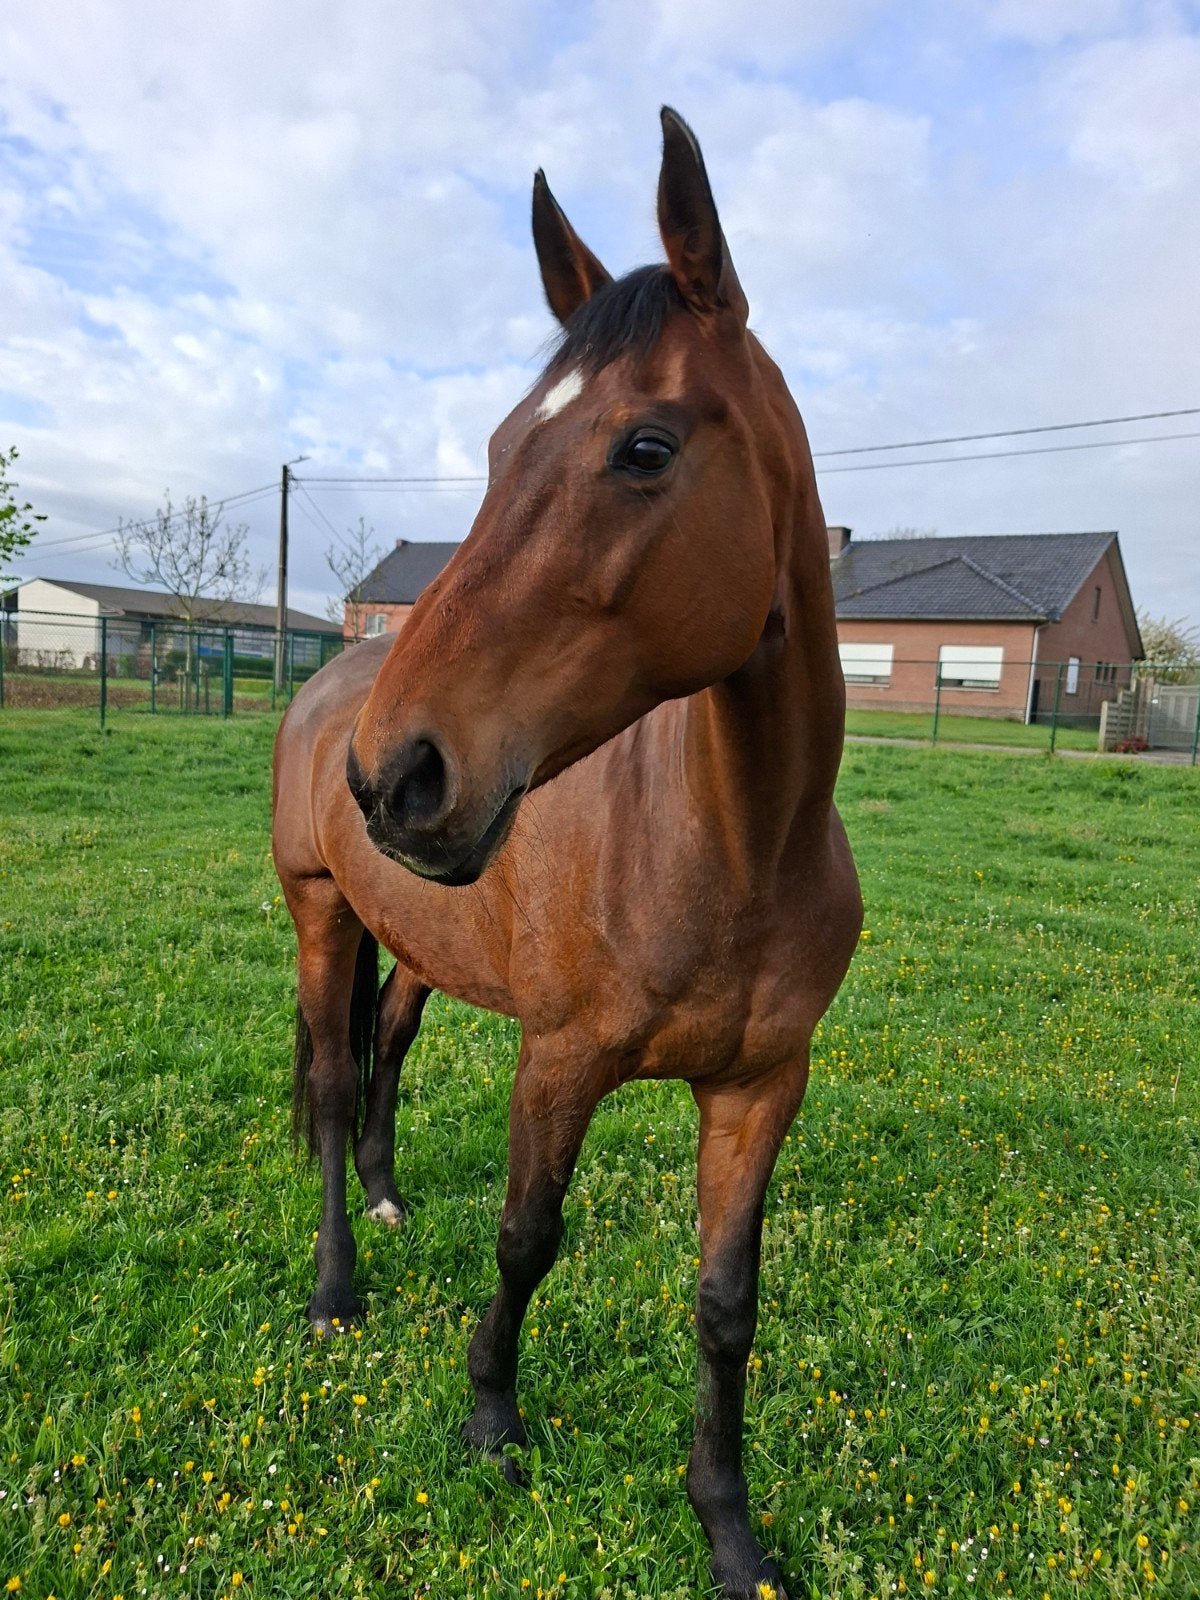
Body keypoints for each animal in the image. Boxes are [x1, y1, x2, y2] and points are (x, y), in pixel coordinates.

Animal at [272, 107, 862, 1600]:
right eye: (492, 449)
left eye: (644, 448)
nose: (396, 771)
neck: (733, 848)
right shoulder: (562, 1061)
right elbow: (527, 1238)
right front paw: (492, 1419)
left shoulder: (762, 1089)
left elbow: (727, 1303)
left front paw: (728, 1525)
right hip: (320, 914)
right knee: (329, 1087)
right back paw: (337, 1289)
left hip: (417, 940)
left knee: (388, 1050)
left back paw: (389, 1199)